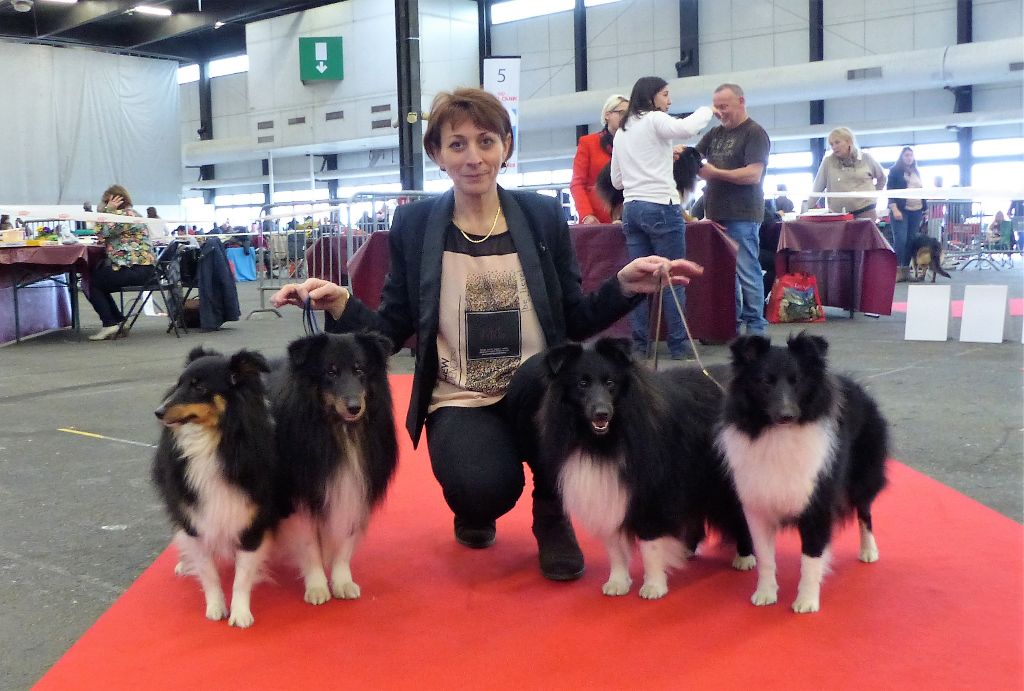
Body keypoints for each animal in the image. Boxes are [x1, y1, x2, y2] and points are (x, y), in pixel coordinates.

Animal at [151, 346, 282, 626]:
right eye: (178, 383)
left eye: (199, 387)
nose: (158, 412)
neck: (213, 442)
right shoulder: (195, 520)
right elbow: (208, 571)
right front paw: (216, 608)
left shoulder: (252, 520)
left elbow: (243, 575)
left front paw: (240, 614)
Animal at [270, 329, 397, 606]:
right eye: (330, 372)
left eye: (360, 370)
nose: (354, 407)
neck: (340, 431)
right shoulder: (300, 497)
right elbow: (309, 546)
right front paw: (317, 587)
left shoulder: (354, 487)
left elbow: (344, 543)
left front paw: (342, 582)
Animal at [536, 339, 753, 601]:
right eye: (582, 383)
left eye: (611, 383)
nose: (602, 413)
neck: (604, 441)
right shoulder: (610, 494)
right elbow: (615, 547)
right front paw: (617, 582)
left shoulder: (653, 493)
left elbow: (651, 545)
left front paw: (654, 586)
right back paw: (688, 549)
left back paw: (745, 557)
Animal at [720, 331, 888, 614]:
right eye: (765, 381)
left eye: (797, 381)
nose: (787, 415)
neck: (779, 435)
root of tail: (857, 387)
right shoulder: (757, 506)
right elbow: (765, 557)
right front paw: (765, 593)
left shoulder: (816, 502)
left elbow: (811, 555)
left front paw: (806, 601)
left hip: (862, 478)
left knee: (865, 512)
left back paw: (869, 551)